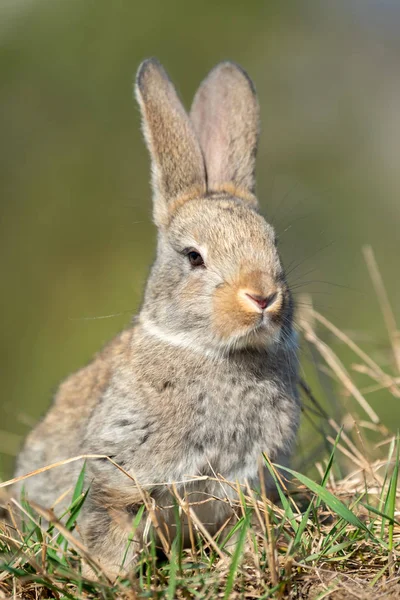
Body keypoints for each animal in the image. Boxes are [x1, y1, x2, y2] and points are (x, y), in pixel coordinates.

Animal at [13, 59, 300, 576]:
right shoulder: (120, 477)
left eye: (273, 245)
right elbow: (111, 528)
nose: (263, 296)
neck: (217, 353)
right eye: (194, 257)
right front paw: (112, 577)